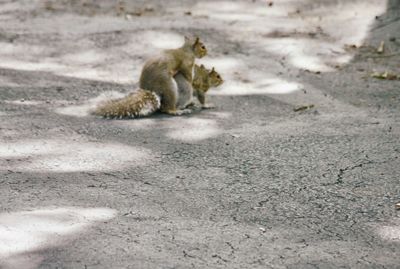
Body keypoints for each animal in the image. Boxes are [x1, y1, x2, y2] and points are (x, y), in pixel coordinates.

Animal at [92, 63, 223, 118]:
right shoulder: (200, 89)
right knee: (167, 108)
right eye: (217, 76)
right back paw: (179, 110)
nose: (223, 81)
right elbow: (202, 98)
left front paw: (194, 103)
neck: (204, 76)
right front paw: (207, 105)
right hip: (185, 89)